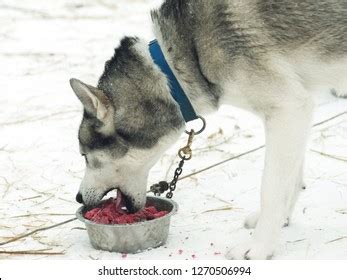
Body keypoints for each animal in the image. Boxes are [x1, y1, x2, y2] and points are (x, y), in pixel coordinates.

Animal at [69, 0, 346, 260]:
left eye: (84, 156)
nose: (79, 197)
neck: (173, 72)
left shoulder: (288, 108)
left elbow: (271, 188)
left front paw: (259, 247)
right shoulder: (296, 111)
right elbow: (292, 180)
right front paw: (281, 221)